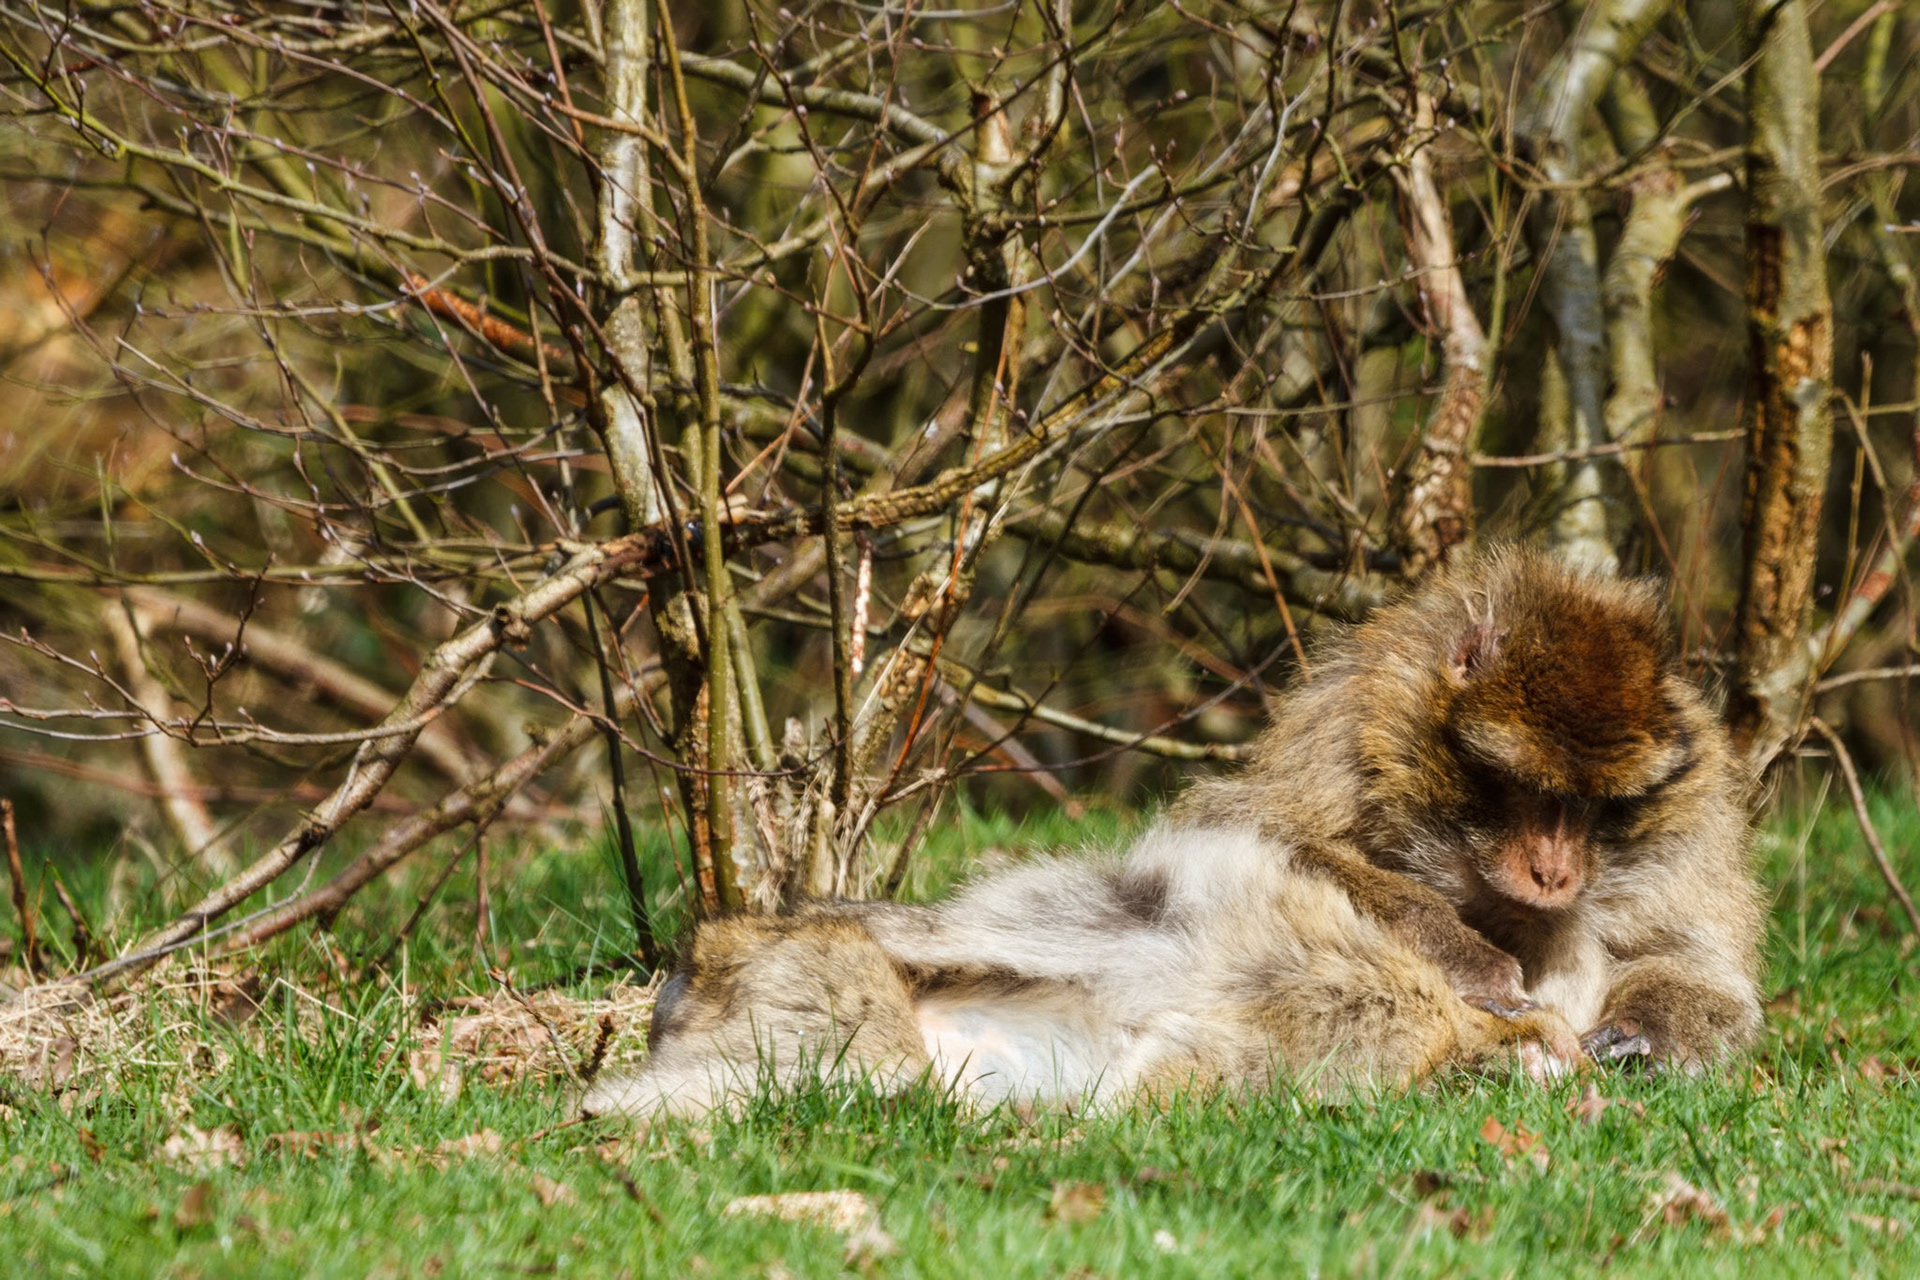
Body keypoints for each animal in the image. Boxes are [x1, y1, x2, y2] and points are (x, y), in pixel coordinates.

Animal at [1171, 545, 1765, 1069]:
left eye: (1594, 804)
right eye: (1532, 790)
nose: (1552, 873)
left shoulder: (1695, 813)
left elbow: (1693, 962)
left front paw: (1644, 1029)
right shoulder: (1344, 732)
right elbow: (1248, 827)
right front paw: (1464, 955)